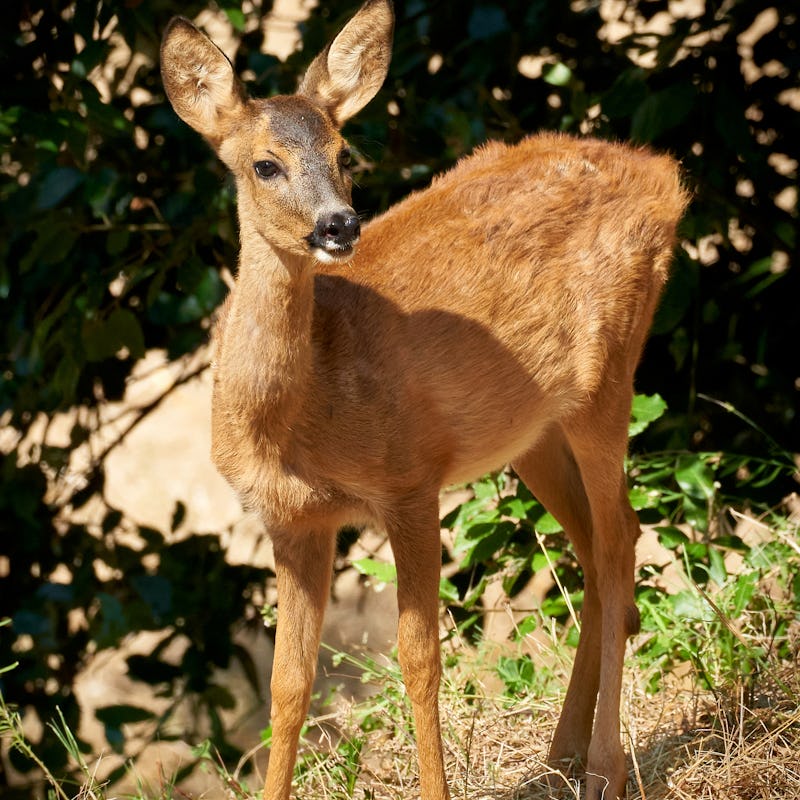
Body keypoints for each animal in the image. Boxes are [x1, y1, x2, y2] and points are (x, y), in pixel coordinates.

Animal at [161, 1, 688, 800]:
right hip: (533, 432)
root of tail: (664, 174)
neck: (301, 410)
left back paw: (603, 769)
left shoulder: (408, 482)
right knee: (595, 550)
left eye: (345, 154)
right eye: (264, 164)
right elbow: (288, 686)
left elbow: (419, 662)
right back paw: (558, 755)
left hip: (609, 377)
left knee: (621, 541)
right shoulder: (291, 520)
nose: (339, 225)